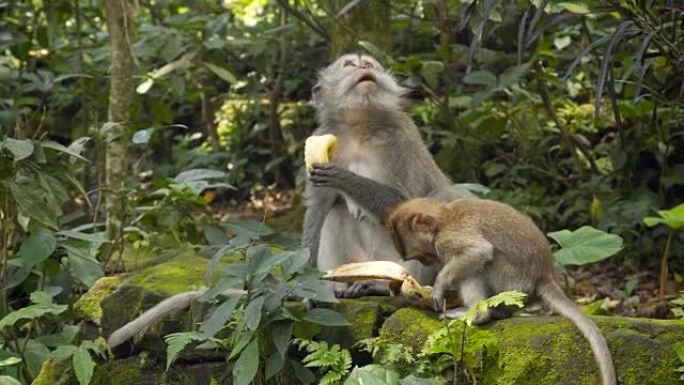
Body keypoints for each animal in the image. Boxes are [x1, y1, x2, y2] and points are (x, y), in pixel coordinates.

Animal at [302, 52, 456, 296]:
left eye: (369, 63)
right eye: (349, 64)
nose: (364, 67)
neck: (360, 126)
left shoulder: (401, 139)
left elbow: (406, 205)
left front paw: (343, 178)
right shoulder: (322, 136)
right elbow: (318, 210)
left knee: (442, 199)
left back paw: (385, 286)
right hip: (363, 261)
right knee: (336, 212)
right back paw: (339, 287)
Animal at [388, 198, 616, 384]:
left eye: (422, 256)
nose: (430, 262)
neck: (444, 218)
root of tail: (545, 273)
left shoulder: (447, 239)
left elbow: (478, 251)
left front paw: (440, 284)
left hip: (511, 278)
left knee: (481, 265)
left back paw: (476, 315)